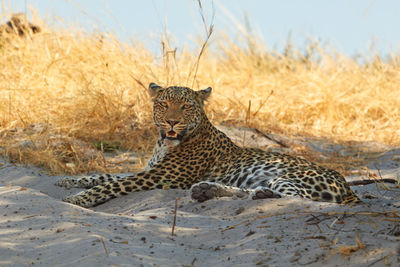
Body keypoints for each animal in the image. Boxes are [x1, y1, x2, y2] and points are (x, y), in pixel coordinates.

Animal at [57, 82, 362, 208]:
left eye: (186, 106)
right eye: (164, 104)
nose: (171, 122)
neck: (163, 143)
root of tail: (347, 187)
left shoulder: (161, 176)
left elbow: (112, 184)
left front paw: (78, 199)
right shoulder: (152, 170)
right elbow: (106, 175)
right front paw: (68, 181)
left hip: (289, 177)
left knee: (293, 197)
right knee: (249, 192)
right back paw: (209, 190)